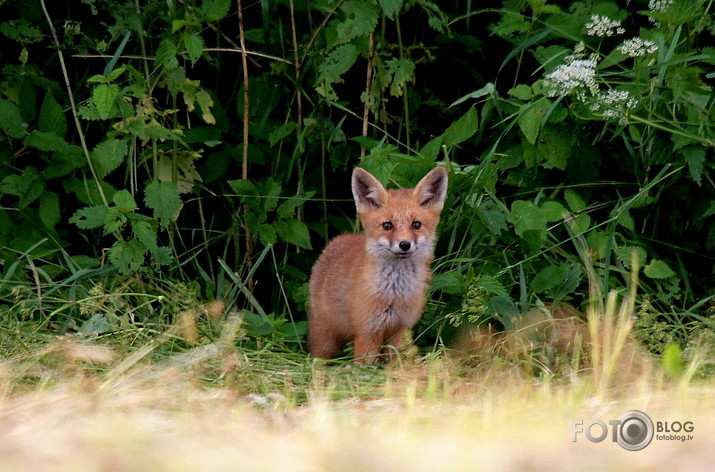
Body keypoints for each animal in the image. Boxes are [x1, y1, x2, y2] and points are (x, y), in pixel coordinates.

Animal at [308, 168, 448, 364]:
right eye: (387, 225)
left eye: (416, 224)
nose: (405, 244)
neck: (394, 294)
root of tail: (338, 239)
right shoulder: (367, 331)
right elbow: (365, 365)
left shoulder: (397, 330)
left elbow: (394, 362)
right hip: (325, 338)